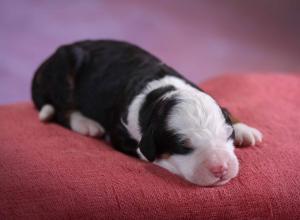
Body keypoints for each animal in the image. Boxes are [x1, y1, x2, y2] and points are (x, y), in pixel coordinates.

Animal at [31, 39, 262, 186]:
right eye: (184, 147)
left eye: (228, 136)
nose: (221, 168)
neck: (160, 93)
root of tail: (44, 65)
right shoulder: (120, 135)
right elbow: (148, 154)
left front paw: (244, 129)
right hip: (65, 70)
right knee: (62, 109)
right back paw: (86, 124)